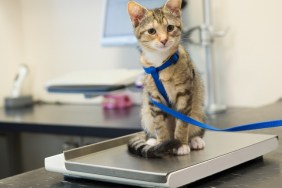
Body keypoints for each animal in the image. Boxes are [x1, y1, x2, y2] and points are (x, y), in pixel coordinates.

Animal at [128, 0, 205, 157]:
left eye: (170, 28)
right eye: (152, 31)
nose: (164, 40)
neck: (160, 62)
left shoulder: (185, 92)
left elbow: (182, 122)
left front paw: (181, 144)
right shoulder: (154, 98)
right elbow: (159, 124)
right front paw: (162, 143)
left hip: (198, 110)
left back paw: (195, 140)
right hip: (145, 112)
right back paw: (152, 140)